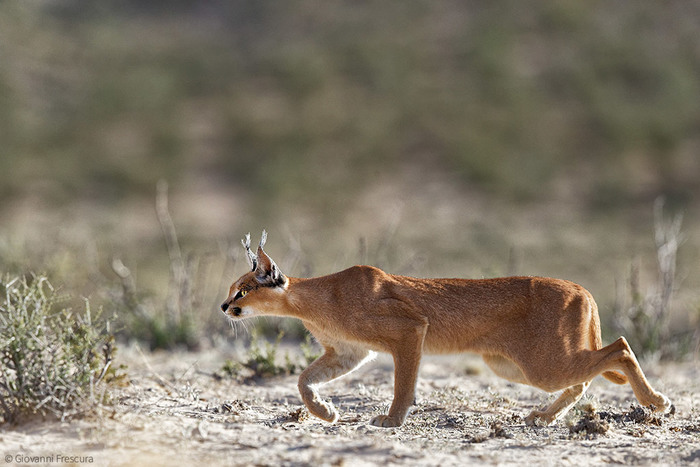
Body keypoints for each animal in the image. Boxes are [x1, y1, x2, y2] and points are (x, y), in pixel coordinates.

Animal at [221, 233, 668, 428]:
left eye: (241, 289)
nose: (224, 306)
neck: (312, 301)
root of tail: (582, 288)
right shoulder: (348, 352)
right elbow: (303, 379)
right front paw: (324, 411)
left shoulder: (409, 329)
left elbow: (403, 382)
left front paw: (392, 420)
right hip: (514, 365)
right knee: (585, 377)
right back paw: (542, 416)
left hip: (543, 363)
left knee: (620, 347)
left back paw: (656, 401)